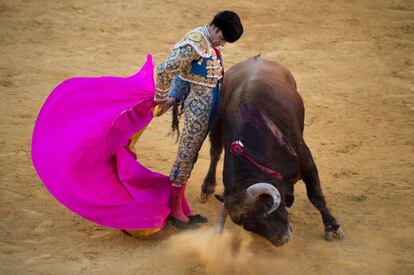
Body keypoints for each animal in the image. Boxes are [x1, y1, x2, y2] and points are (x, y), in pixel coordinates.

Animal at [202, 55, 344, 246]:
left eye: (266, 208)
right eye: (247, 225)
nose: (283, 239)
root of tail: (257, 58)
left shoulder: (308, 164)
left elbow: (316, 197)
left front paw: (332, 227)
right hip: (216, 124)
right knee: (215, 151)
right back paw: (208, 185)